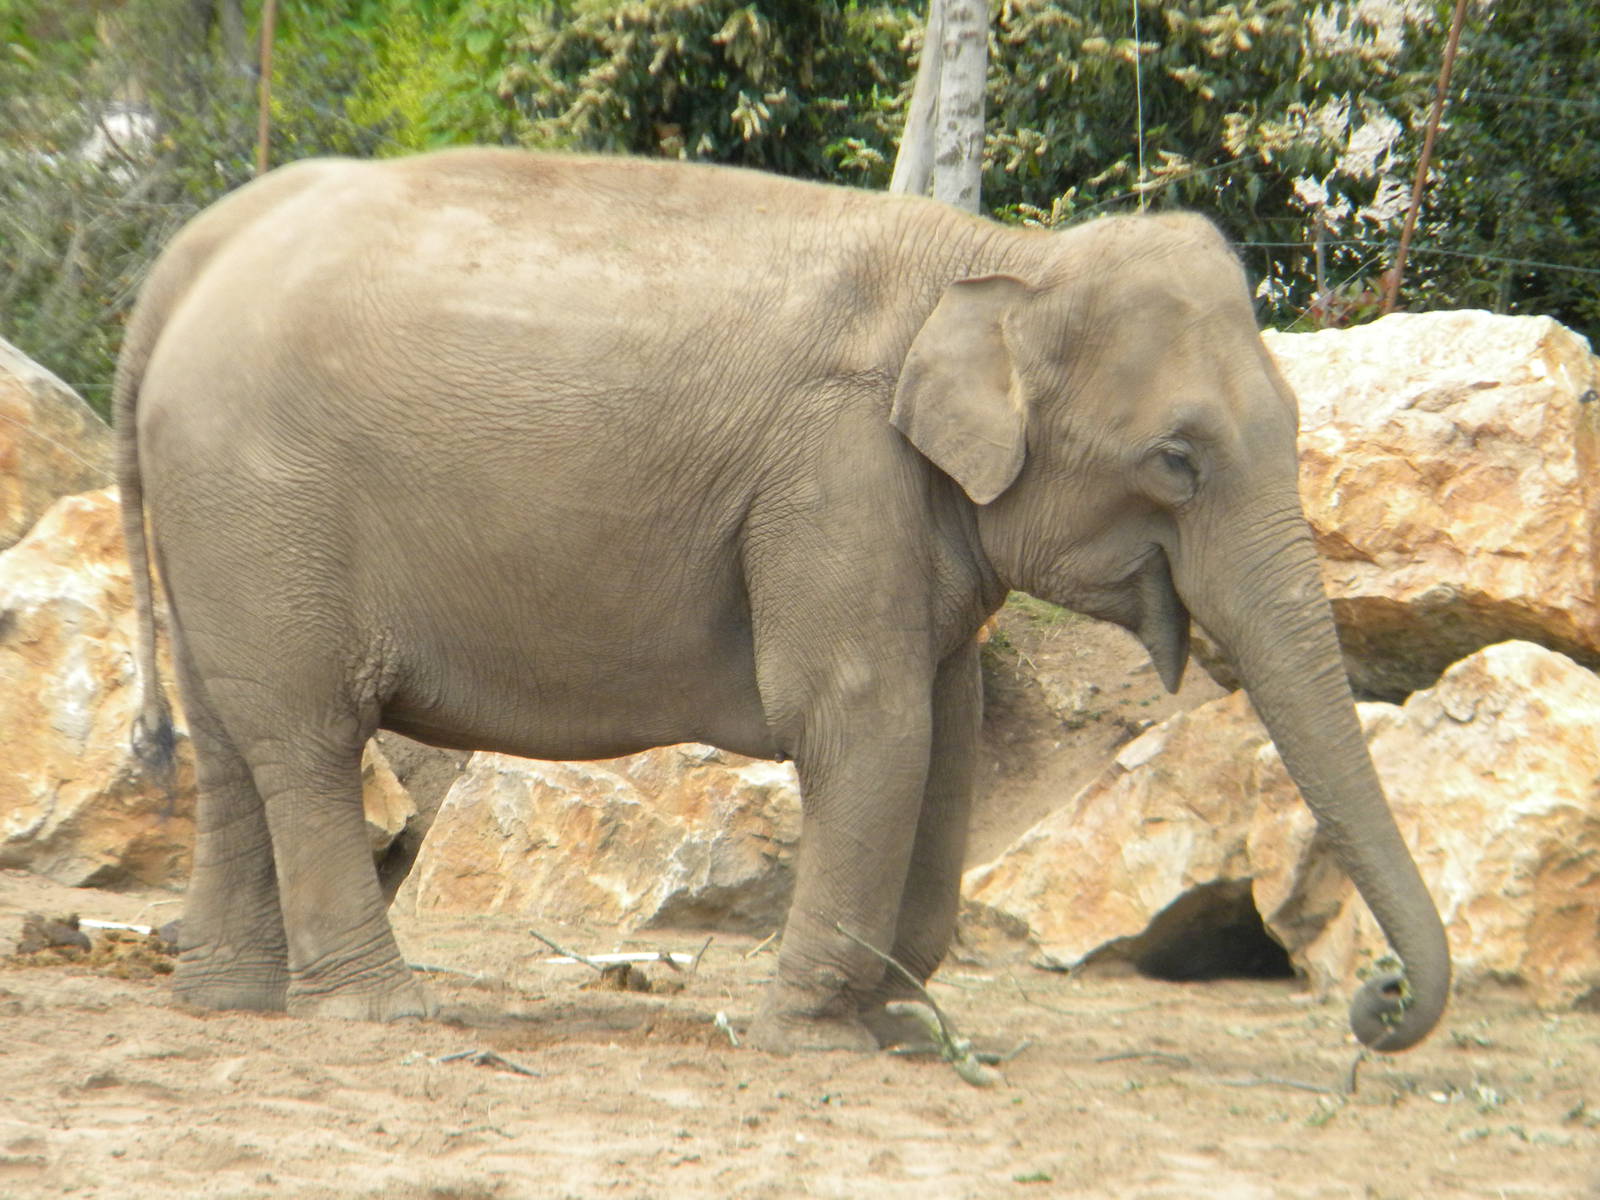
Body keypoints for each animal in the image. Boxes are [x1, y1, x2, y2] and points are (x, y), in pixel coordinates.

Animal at [114, 147, 1449, 1054]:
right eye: (1178, 457)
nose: (1378, 1002)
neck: (999, 261)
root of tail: (184, 263)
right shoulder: (833, 470)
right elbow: (865, 719)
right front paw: (814, 1035)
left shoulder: (905, 515)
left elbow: (946, 733)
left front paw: (900, 1028)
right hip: (262, 503)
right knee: (306, 736)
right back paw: (381, 1012)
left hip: (220, 528)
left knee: (233, 739)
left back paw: (229, 997)